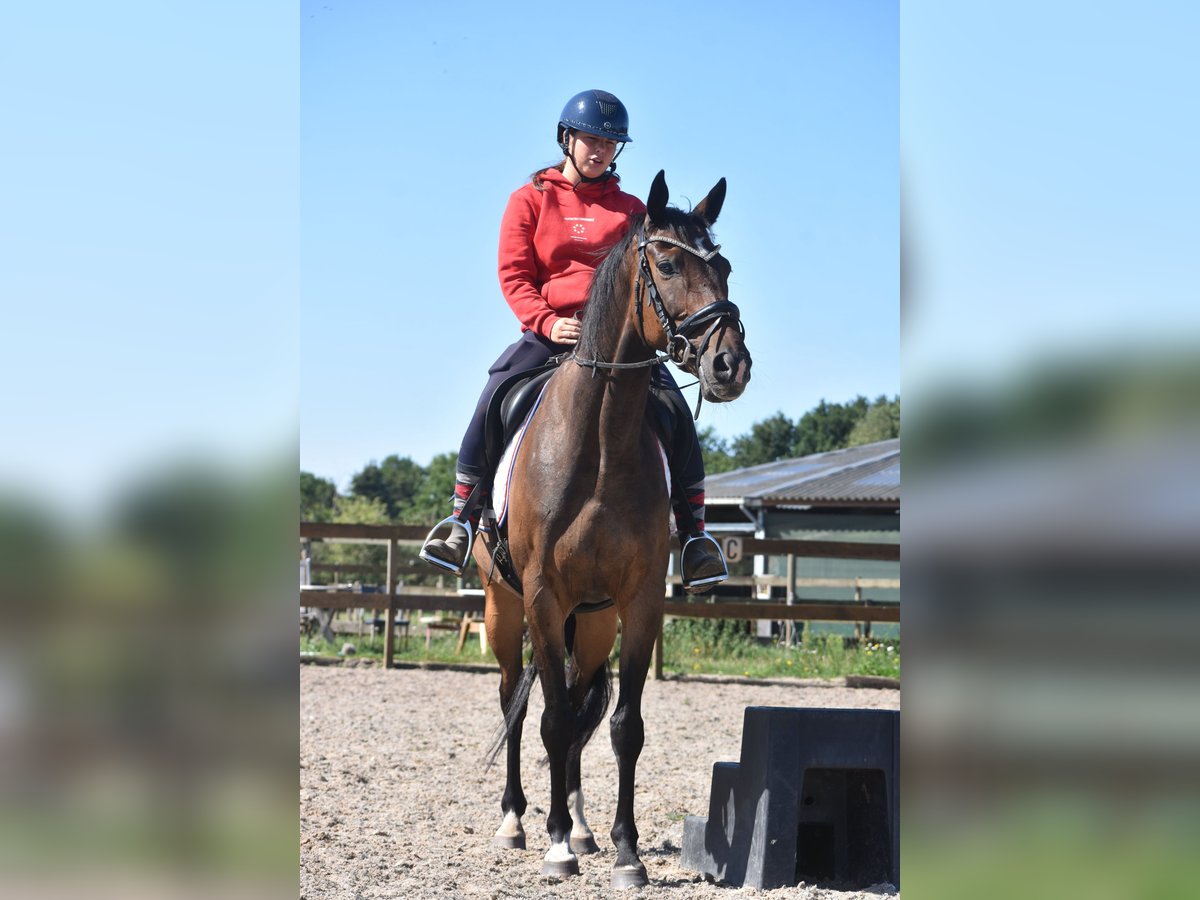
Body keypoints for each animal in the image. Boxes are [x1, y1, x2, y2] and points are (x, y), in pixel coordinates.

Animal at [474, 170, 752, 888]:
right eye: (667, 264)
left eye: (724, 267)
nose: (729, 366)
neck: (598, 440)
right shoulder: (542, 597)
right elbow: (548, 718)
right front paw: (553, 848)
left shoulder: (639, 600)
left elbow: (622, 725)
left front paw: (626, 852)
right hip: (503, 607)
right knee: (516, 699)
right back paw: (517, 821)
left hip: (593, 618)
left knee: (580, 704)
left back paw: (582, 824)